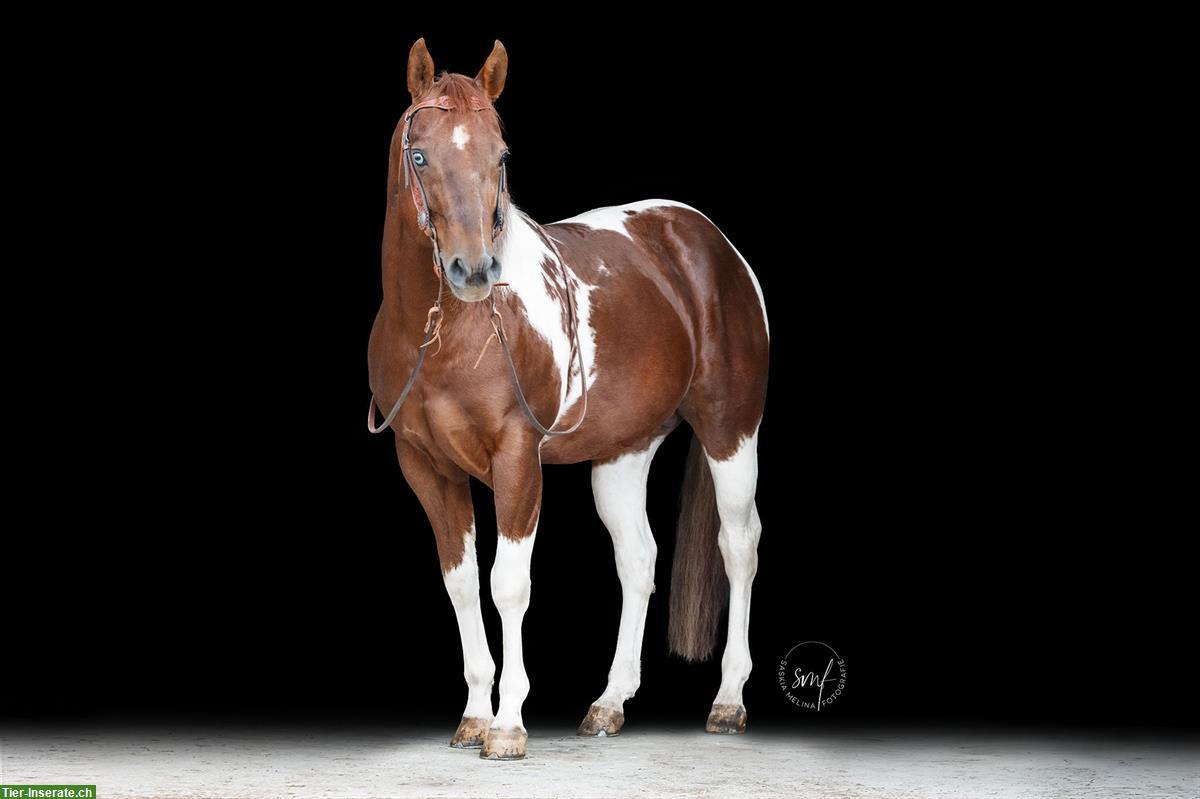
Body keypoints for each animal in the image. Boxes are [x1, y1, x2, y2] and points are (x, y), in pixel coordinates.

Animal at [367, 38, 769, 760]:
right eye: (420, 156)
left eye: (500, 156)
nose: (474, 270)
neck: (447, 333)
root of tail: (710, 244)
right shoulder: (427, 468)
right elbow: (461, 583)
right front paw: (474, 715)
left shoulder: (516, 459)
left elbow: (508, 583)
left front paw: (507, 725)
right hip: (623, 455)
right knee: (638, 558)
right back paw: (608, 704)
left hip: (732, 433)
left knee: (739, 545)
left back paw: (727, 702)